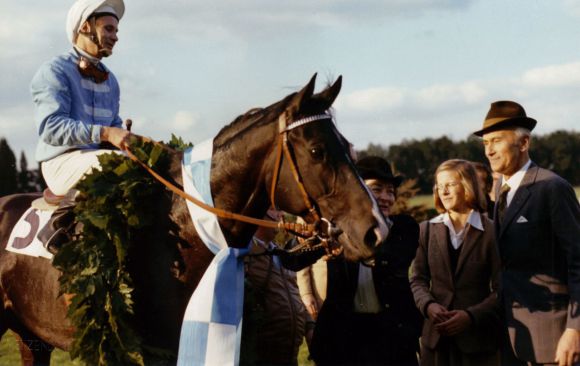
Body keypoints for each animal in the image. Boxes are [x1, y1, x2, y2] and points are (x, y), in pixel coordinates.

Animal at [1, 73, 390, 364]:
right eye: (317, 150)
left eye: (346, 145)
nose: (376, 231)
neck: (183, 234)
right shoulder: (148, 351)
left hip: (30, 334)